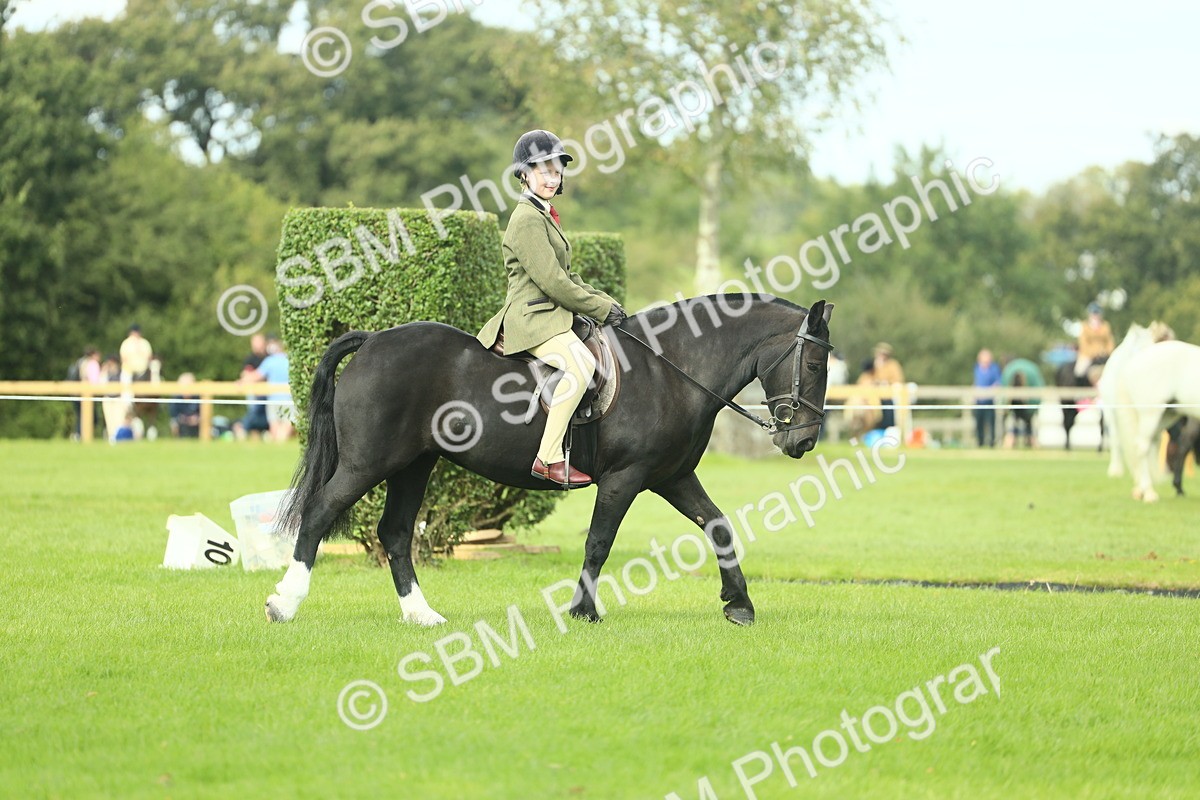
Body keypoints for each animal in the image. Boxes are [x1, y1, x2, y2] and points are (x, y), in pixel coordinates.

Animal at [266, 294, 835, 627]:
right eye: (814, 363)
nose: (804, 441)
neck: (670, 368)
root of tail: (374, 340)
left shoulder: (672, 478)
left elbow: (717, 526)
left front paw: (739, 604)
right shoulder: (625, 478)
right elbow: (599, 542)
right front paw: (583, 611)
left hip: (414, 466)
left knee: (396, 533)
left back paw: (421, 615)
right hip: (368, 464)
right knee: (319, 513)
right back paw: (284, 603)